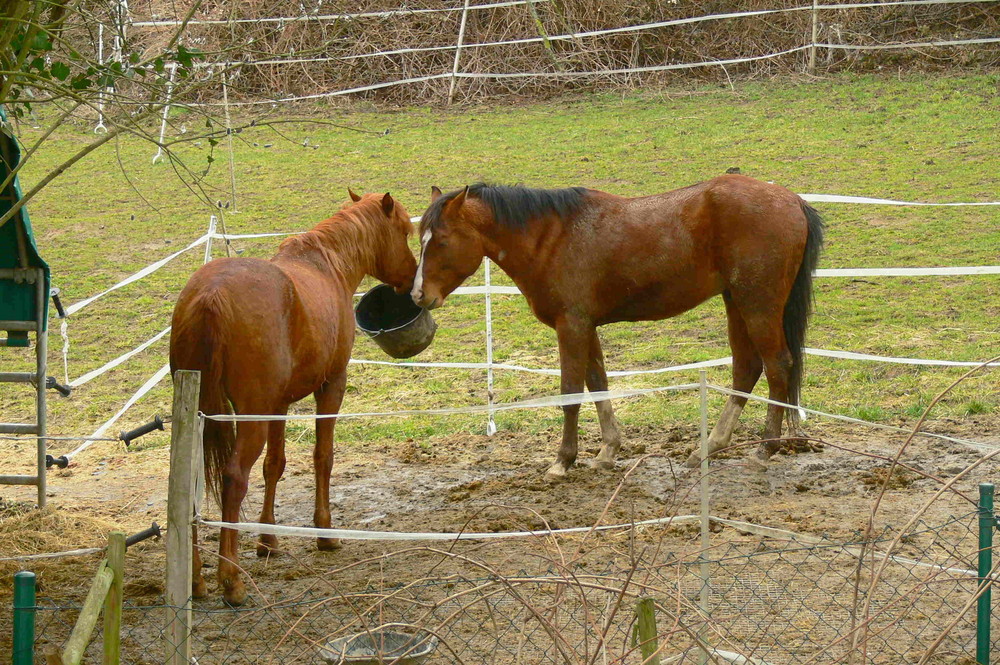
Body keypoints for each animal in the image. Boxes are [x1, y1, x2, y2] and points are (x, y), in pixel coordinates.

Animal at [170, 189, 416, 604]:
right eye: (404, 230)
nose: (413, 277)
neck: (327, 265)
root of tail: (210, 295)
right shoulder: (331, 386)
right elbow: (322, 456)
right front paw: (325, 533)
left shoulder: (279, 404)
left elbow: (276, 464)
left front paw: (268, 540)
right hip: (249, 416)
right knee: (234, 479)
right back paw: (231, 581)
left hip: (199, 415)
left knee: (192, 481)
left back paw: (196, 580)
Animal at [410, 174, 824, 478]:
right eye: (421, 239)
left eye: (441, 240)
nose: (417, 294)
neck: (551, 238)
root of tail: (792, 201)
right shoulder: (586, 326)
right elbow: (598, 384)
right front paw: (607, 451)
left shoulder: (572, 326)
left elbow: (571, 393)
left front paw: (563, 461)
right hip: (736, 302)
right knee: (746, 369)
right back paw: (708, 448)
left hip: (758, 304)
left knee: (777, 366)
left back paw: (763, 450)